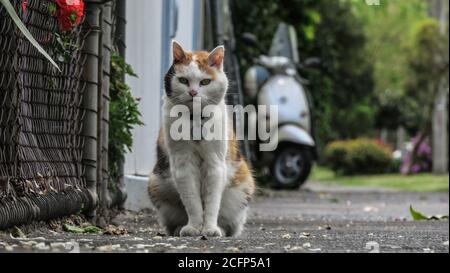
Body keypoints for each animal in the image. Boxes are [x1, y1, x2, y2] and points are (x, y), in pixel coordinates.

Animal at [149, 40, 255, 236]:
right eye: (183, 80)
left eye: (205, 82)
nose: (193, 92)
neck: (195, 120)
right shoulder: (183, 164)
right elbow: (192, 201)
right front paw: (194, 227)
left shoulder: (215, 164)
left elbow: (211, 202)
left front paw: (210, 229)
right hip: (156, 185)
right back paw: (180, 228)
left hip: (243, 185)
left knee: (232, 224)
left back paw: (220, 228)